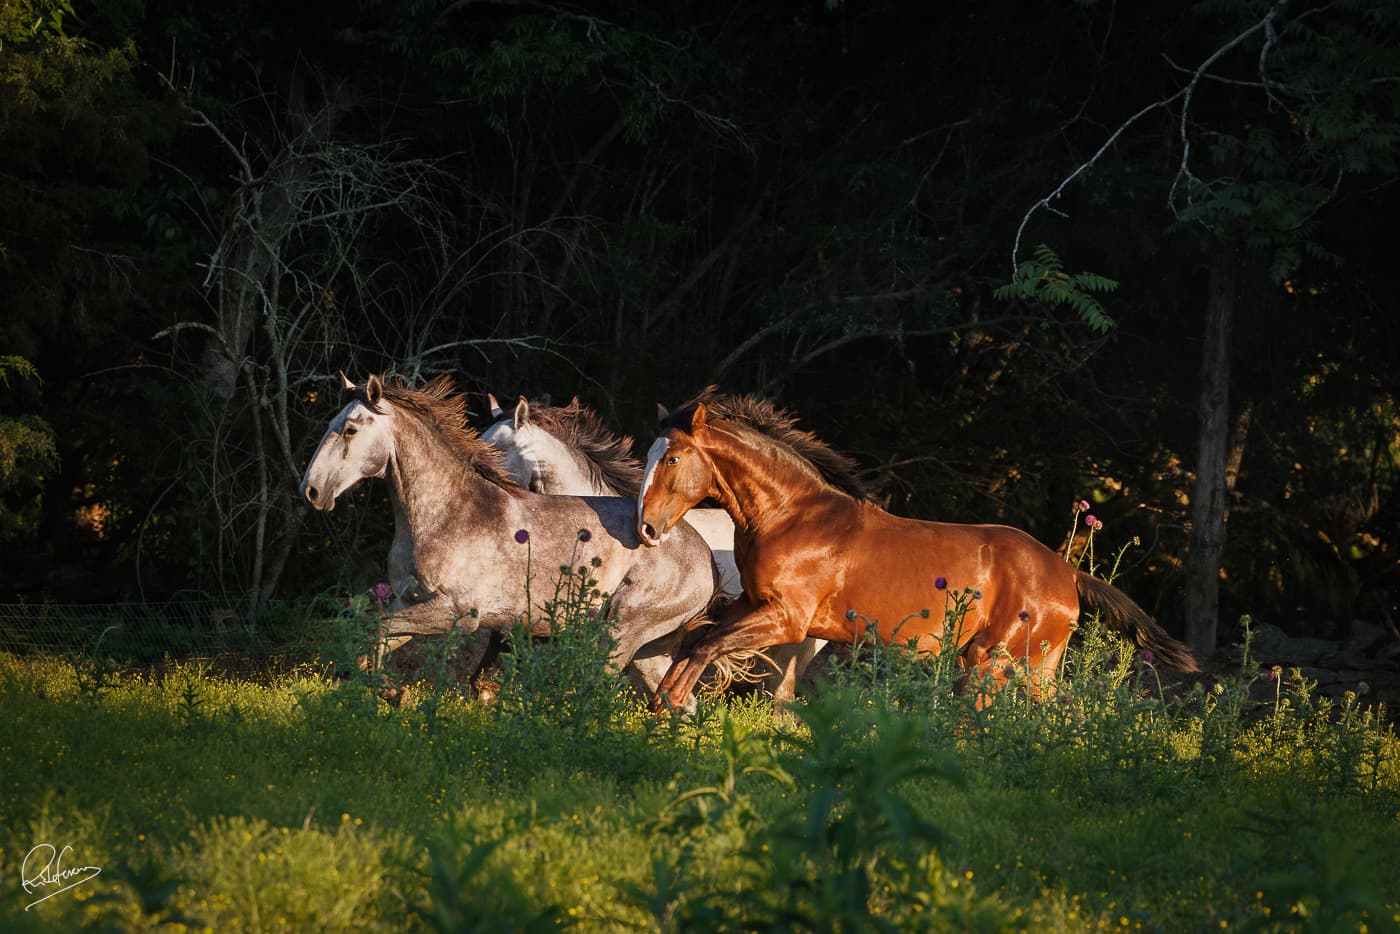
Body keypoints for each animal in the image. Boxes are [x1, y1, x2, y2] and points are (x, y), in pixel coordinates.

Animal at [298, 373, 719, 695]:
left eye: (349, 429)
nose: (312, 490)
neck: (448, 512)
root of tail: (705, 554)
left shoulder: (457, 614)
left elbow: (378, 629)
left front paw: (393, 692)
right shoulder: (411, 603)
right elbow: (375, 638)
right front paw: (384, 689)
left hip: (619, 632)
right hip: (650, 651)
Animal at [635, 388, 1199, 711]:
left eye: (674, 458)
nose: (645, 528)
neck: (790, 514)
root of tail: (1068, 575)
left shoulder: (787, 620)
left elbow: (707, 645)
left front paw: (673, 708)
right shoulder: (753, 604)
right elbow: (696, 639)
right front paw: (664, 704)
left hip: (994, 663)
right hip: (1022, 666)